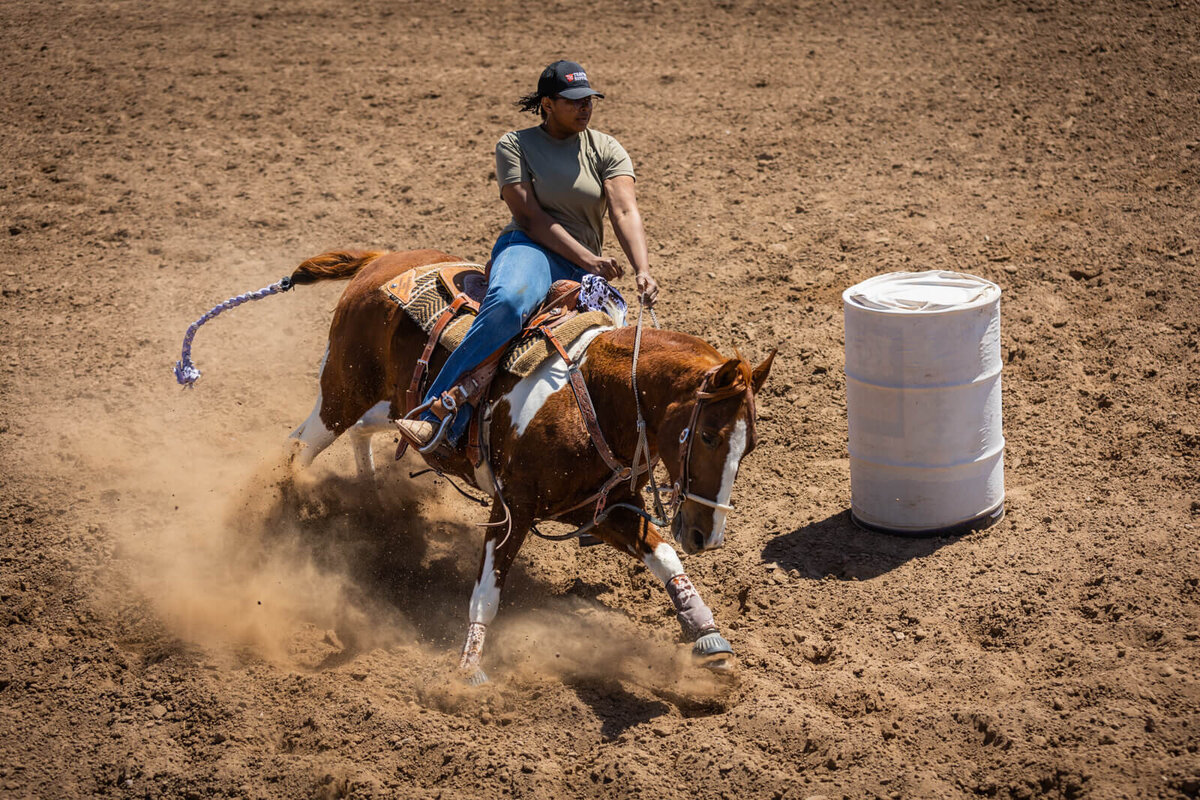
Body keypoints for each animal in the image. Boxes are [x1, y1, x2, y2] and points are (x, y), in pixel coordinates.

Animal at [181, 248, 772, 681]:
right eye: (711, 434)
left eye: (751, 447)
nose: (707, 536)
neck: (592, 398)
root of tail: (381, 258)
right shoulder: (512, 510)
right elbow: (488, 592)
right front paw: (468, 674)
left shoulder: (604, 510)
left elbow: (665, 557)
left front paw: (709, 639)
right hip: (340, 394)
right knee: (296, 450)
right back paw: (273, 515)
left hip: (386, 404)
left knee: (367, 436)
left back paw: (371, 501)